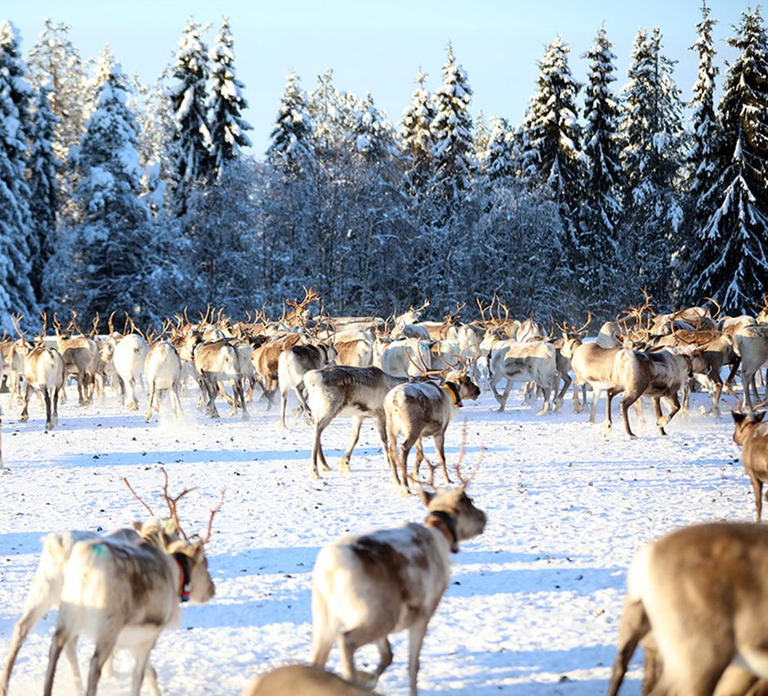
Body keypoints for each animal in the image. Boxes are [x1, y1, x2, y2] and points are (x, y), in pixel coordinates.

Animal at [42, 470, 220, 696]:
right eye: (205, 562)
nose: (212, 589)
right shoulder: (144, 636)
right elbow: (144, 673)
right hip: (105, 622)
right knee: (92, 661)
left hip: (65, 610)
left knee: (57, 644)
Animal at [310, 453, 487, 696]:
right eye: (470, 501)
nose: (484, 517)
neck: (440, 534)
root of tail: (330, 569)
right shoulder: (425, 612)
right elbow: (413, 664)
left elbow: (388, 655)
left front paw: (369, 679)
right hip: (377, 615)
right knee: (346, 640)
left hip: (324, 617)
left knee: (316, 660)